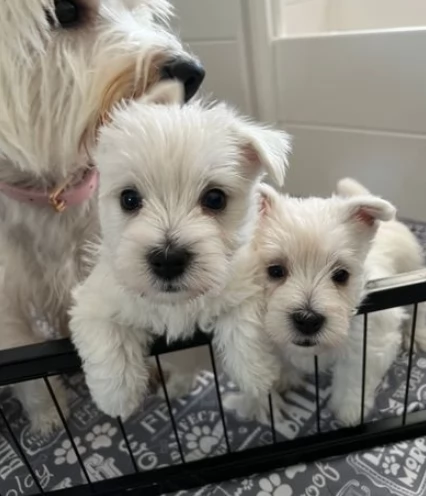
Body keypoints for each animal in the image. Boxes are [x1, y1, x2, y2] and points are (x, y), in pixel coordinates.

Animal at [0, 0, 205, 434]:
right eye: (65, 10)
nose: (194, 72)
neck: (52, 193)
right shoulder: (6, 291)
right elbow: (26, 369)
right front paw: (47, 414)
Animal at [69, 80, 292, 418]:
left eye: (215, 198)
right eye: (129, 198)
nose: (168, 260)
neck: (176, 303)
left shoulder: (247, 280)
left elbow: (244, 322)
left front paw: (258, 373)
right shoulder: (94, 299)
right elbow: (105, 335)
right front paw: (116, 398)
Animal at [226, 178, 426, 426]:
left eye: (341, 275)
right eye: (275, 270)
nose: (307, 320)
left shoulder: (370, 339)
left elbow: (354, 378)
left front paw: (349, 412)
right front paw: (273, 392)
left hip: (411, 264)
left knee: (420, 308)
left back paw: (416, 335)